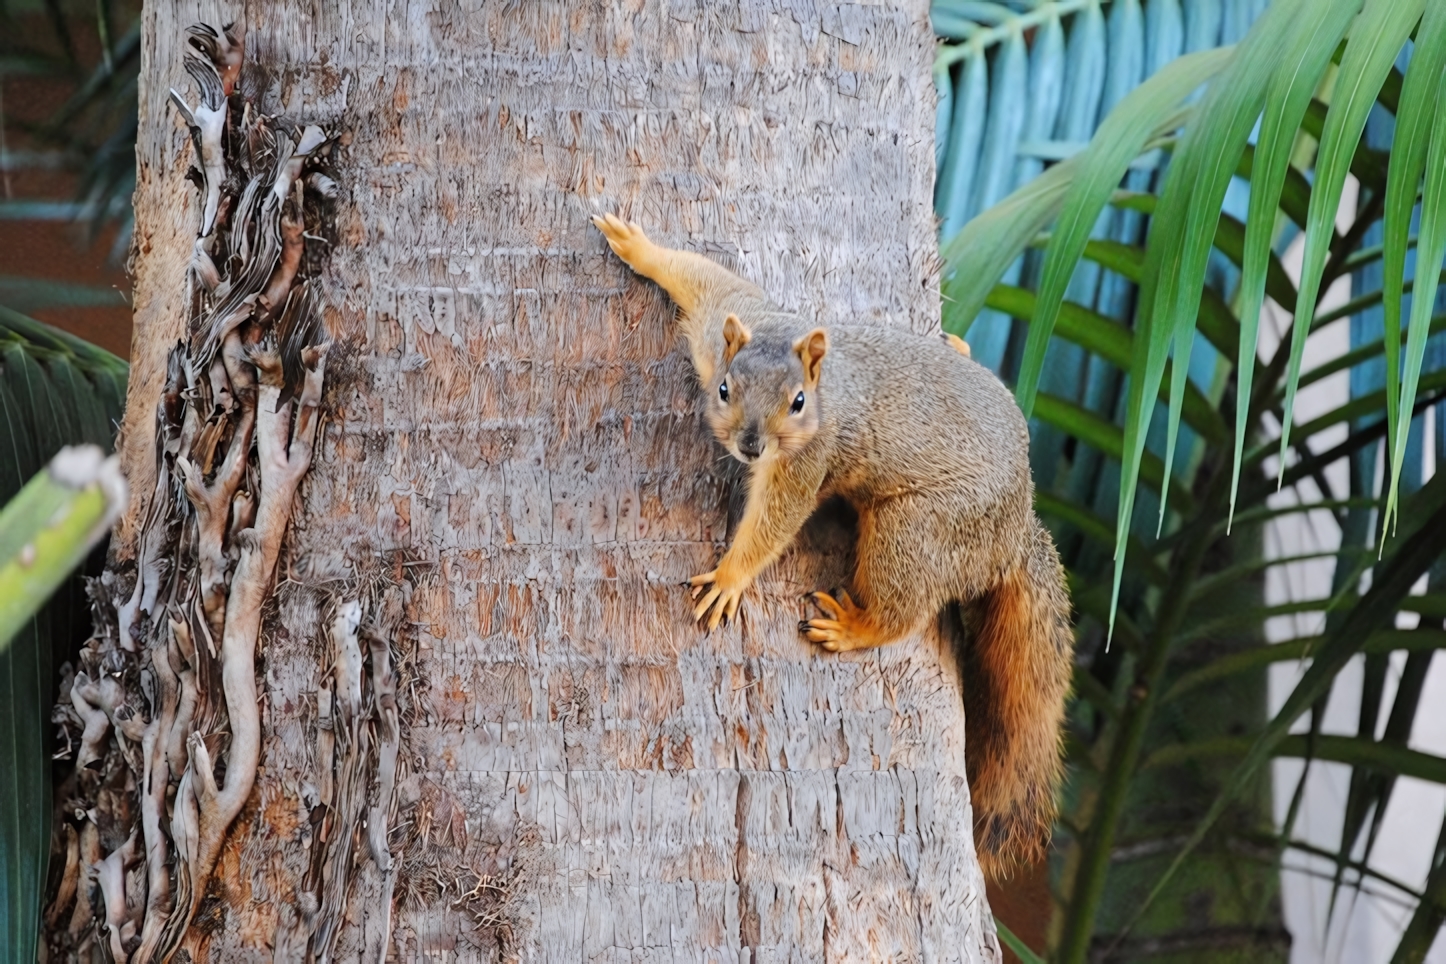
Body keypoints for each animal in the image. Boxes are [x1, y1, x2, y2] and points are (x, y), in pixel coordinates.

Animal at [589, 212, 1075, 884]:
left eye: (797, 403)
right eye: (723, 388)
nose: (750, 445)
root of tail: (1017, 523)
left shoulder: (806, 462)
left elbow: (777, 518)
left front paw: (731, 577)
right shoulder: (723, 324)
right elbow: (705, 278)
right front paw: (639, 247)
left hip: (919, 528)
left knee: (906, 607)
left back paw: (855, 626)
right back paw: (957, 346)